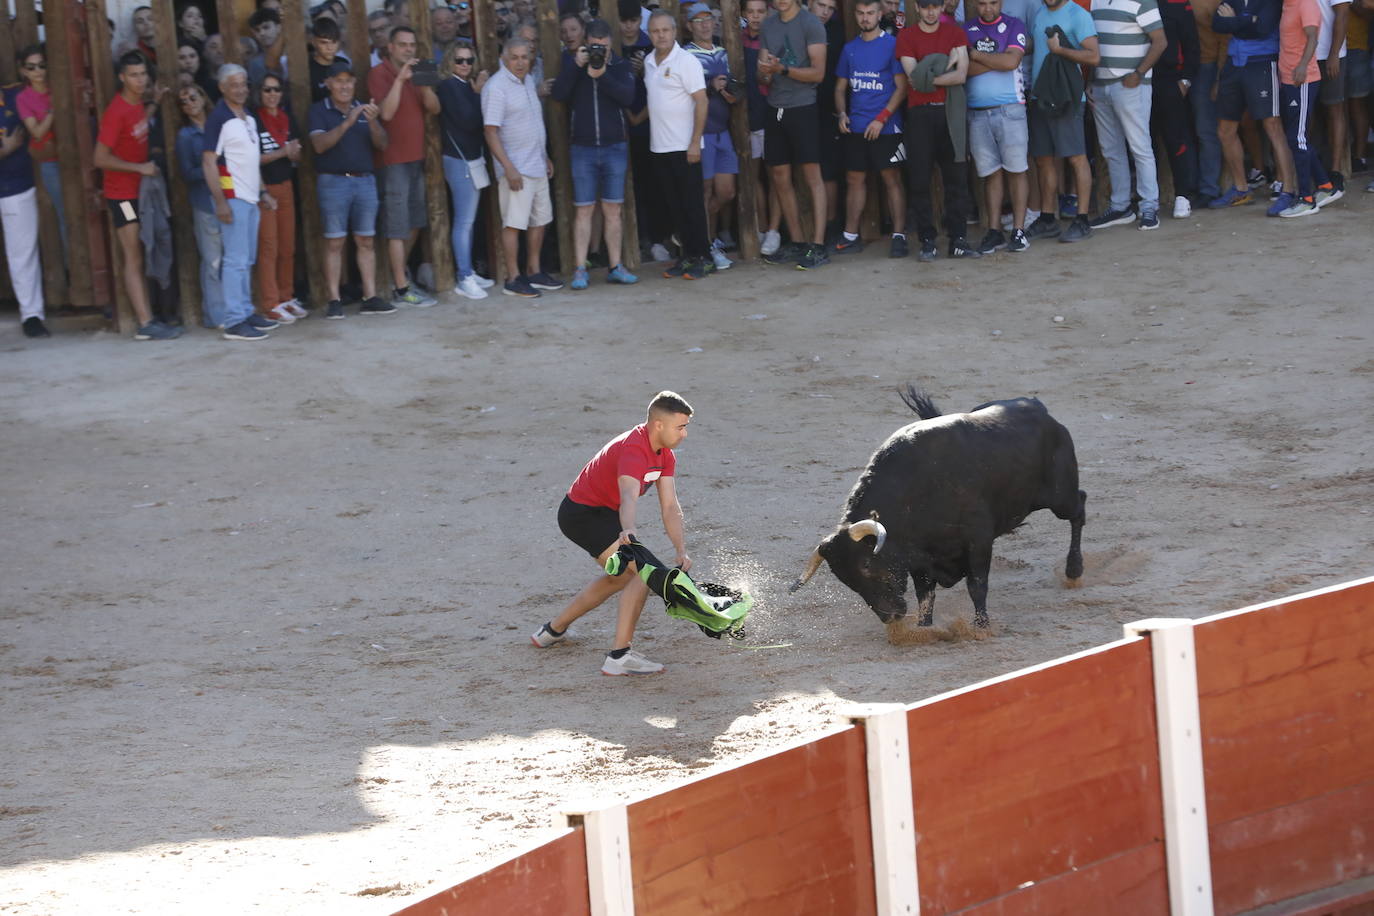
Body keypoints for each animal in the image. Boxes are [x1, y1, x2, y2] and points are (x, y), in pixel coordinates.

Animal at [791, 387, 1088, 631]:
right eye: (843, 578)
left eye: (865, 564)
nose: (890, 617)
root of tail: (1040, 409)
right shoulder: (920, 558)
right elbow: (926, 596)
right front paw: (925, 628)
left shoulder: (978, 541)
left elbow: (977, 586)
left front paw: (982, 626)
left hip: (1060, 497)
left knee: (1079, 507)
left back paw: (1074, 570)